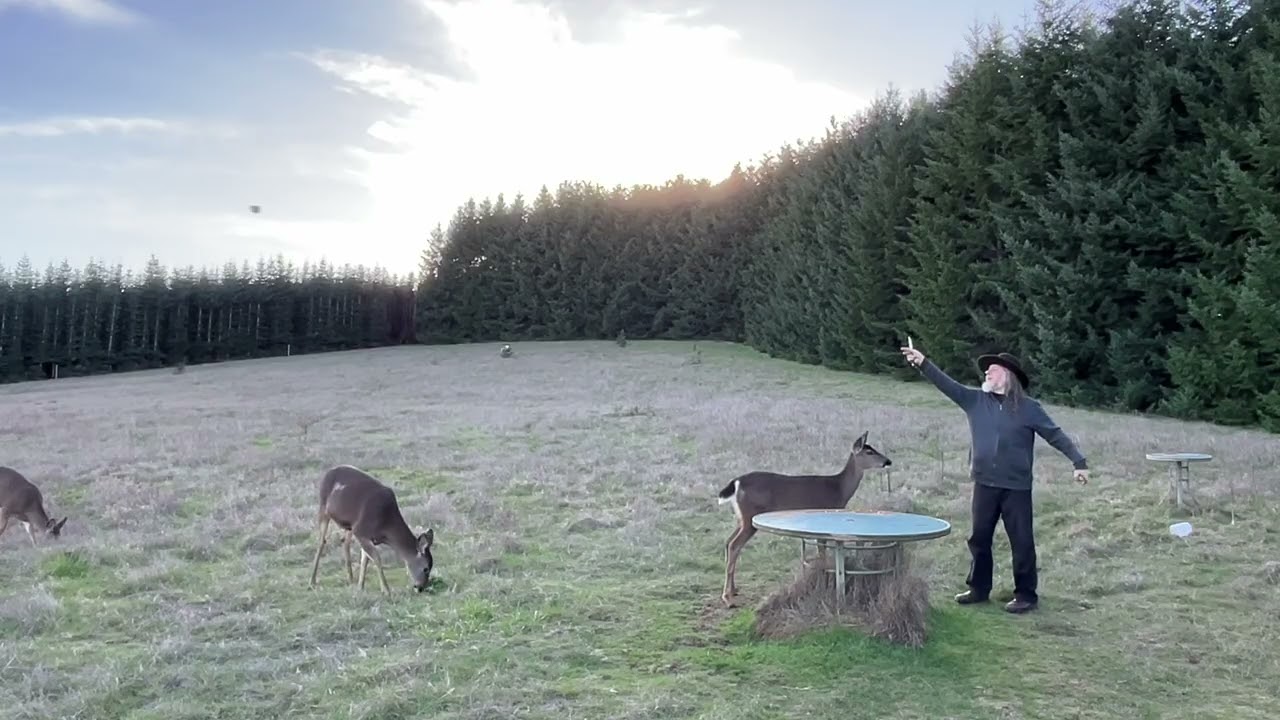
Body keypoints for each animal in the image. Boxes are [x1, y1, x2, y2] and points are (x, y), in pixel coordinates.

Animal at [308, 464, 436, 594]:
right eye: (426, 568)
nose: (420, 587)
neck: (385, 528)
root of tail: (329, 471)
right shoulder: (360, 530)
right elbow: (376, 559)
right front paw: (386, 590)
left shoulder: (366, 535)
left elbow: (365, 560)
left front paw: (360, 587)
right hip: (323, 507)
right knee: (321, 542)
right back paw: (312, 582)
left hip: (349, 524)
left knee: (345, 542)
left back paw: (350, 579)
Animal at [716, 430, 891, 607]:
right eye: (869, 452)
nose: (888, 461)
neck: (838, 489)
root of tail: (737, 482)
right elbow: (822, 553)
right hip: (750, 516)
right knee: (734, 544)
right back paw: (727, 597)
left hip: (742, 518)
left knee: (728, 542)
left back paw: (734, 590)